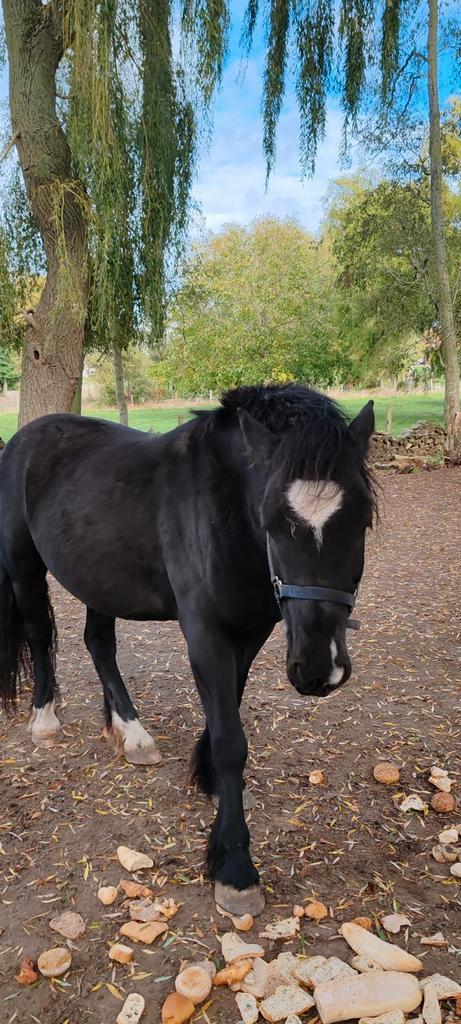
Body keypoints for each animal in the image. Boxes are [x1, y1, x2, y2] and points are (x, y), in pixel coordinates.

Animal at [0, 384, 375, 915]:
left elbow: (229, 709)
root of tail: (23, 439)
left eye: (363, 519)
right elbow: (230, 740)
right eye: (272, 521)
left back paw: (131, 733)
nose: (319, 669)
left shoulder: (252, 630)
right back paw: (45, 721)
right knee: (38, 634)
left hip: (100, 579)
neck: (226, 510)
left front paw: (209, 781)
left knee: (99, 645)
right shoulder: (204, 632)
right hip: (23, 564)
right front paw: (235, 866)